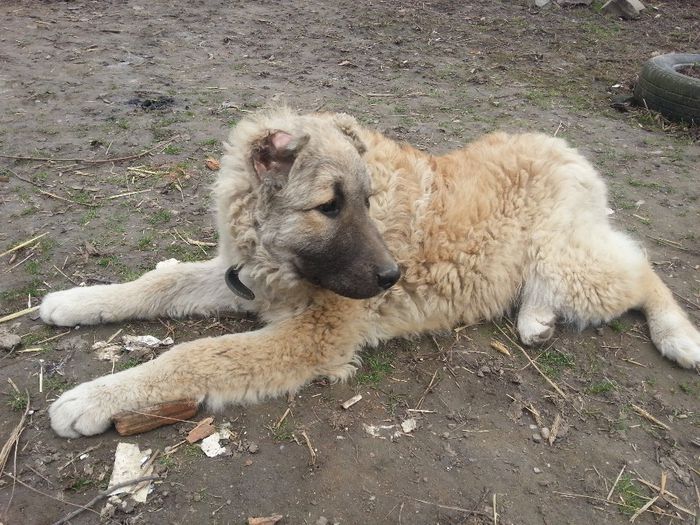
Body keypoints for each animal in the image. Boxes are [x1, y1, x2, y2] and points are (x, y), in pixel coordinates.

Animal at [41, 104, 700, 436]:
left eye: (368, 200)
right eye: (329, 206)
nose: (392, 277)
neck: (274, 253)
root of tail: (566, 147)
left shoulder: (317, 335)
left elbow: (195, 356)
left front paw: (96, 397)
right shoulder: (247, 282)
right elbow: (162, 281)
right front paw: (80, 300)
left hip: (571, 260)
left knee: (642, 269)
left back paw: (677, 335)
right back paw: (536, 321)